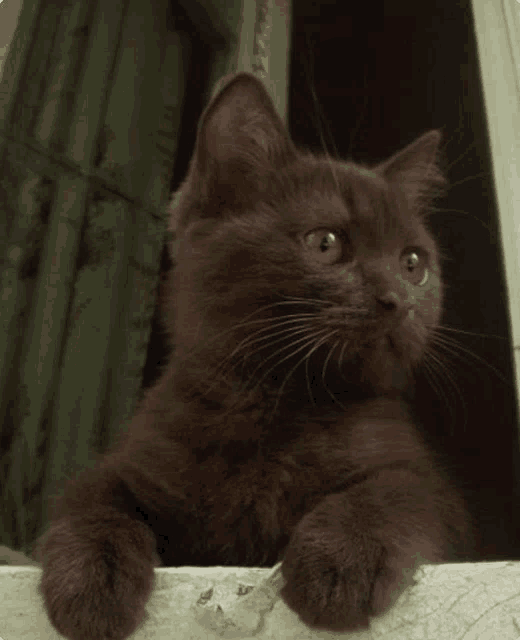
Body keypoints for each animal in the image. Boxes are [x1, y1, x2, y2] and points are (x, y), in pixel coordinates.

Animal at [31, 71, 472, 640]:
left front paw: (342, 557)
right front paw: (91, 576)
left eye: (414, 263)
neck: (275, 400)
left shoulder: (427, 482)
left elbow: (399, 488)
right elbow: (91, 495)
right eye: (326, 242)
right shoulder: (139, 458)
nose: (397, 299)